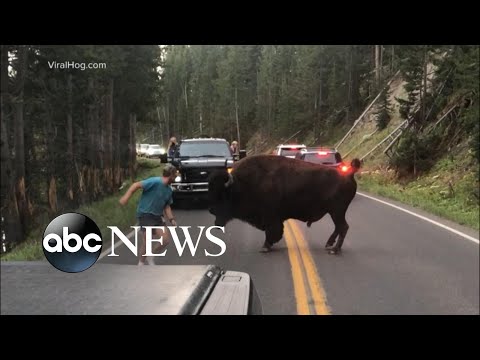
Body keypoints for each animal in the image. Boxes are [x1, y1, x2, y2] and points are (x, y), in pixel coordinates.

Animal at [206, 154, 360, 253]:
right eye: (210, 190)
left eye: (222, 194)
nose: (211, 210)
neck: (241, 184)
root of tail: (349, 174)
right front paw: (268, 245)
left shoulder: (270, 217)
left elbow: (272, 231)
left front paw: (265, 247)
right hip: (334, 211)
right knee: (339, 227)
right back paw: (329, 245)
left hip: (337, 211)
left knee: (343, 227)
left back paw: (334, 250)